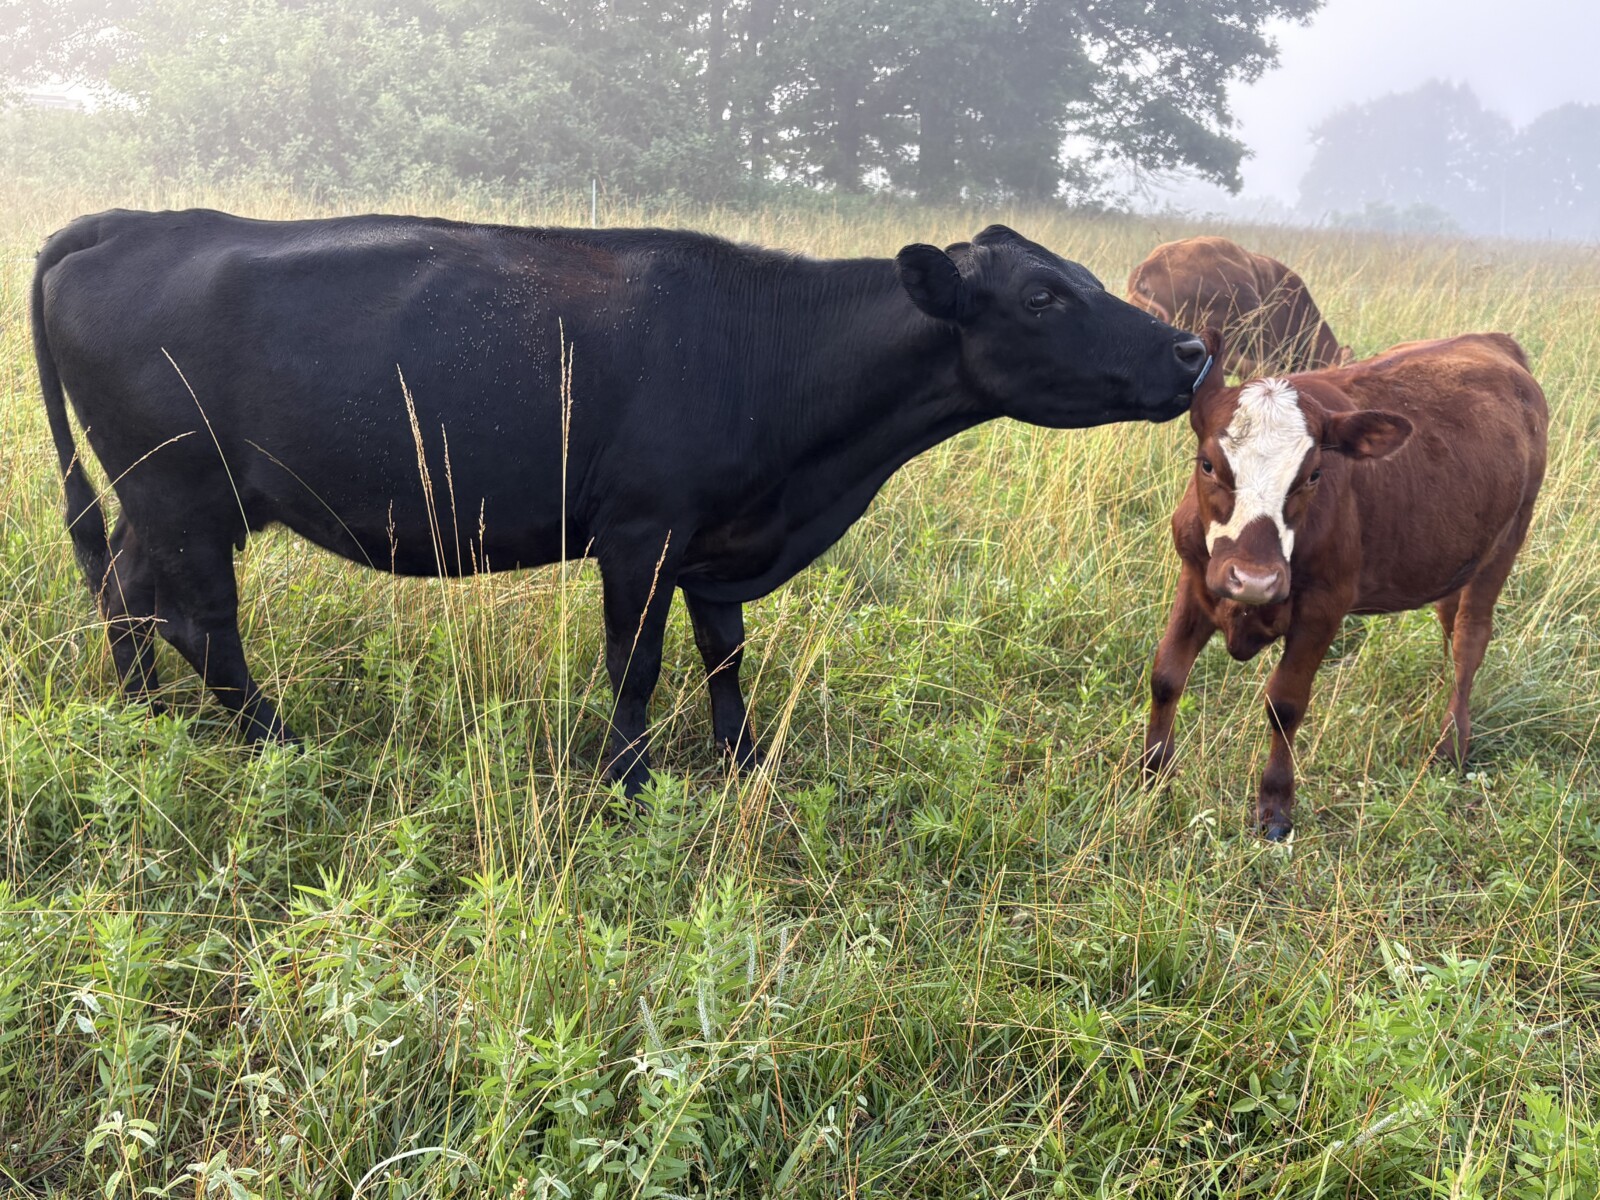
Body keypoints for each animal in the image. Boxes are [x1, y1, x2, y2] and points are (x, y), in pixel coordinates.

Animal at [34, 210, 1207, 796]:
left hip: (159, 500)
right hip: (184, 491)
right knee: (197, 622)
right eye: (1042, 296)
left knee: (127, 598)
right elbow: (634, 662)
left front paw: (743, 766)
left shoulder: (720, 538)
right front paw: (628, 780)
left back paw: (144, 722)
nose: (1193, 351)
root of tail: (134, 220)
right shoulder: (642, 528)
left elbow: (726, 655)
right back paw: (280, 745)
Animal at [1143, 329, 1546, 840]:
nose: (1255, 579)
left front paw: (1275, 808)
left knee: (1470, 635)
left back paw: (1452, 741)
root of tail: (1492, 341)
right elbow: (1166, 676)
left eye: (1314, 474)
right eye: (1208, 465)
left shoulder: (1323, 607)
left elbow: (1285, 704)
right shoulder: (1196, 578)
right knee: (1449, 620)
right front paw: (1153, 776)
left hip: (1508, 538)